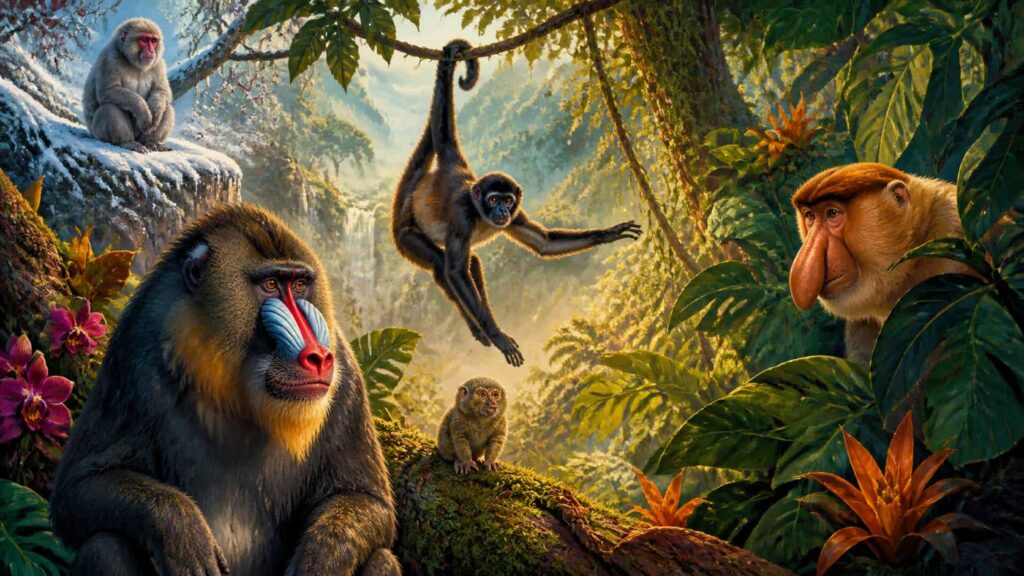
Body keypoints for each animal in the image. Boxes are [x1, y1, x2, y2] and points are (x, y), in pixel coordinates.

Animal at [50, 205, 400, 576]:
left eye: (300, 285)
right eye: (271, 285)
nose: (318, 357)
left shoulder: (347, 380)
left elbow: (367, 500)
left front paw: (320, 560)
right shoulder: (132, 354)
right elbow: (78, 488)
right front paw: (183, 532)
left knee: (382, 558)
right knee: (105, 546)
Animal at [83, 18, 175, 153]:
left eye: (153, 41)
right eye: (145, 40)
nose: (151, 50)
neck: (134, 63)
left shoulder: (159, 64)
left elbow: (161, 91)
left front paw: (155, 111)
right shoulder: (109, 58)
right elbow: (107, 91)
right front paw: (143, 110)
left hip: (141, 134)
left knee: (167, 108)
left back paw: (151, 142)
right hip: (97, 132)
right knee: (109, 108)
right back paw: (127, 142)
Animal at [391, 40, 642, 367]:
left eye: (507, 200)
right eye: (494, 199)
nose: (501, 211)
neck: (478, 210)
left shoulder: (517, 214)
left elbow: (544, 244)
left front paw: (608, 234)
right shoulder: (461, 214)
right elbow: (455, 271)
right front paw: (497, 334)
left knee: (471, 262)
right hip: (405, 237)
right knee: (440, 265)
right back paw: (481, 329)